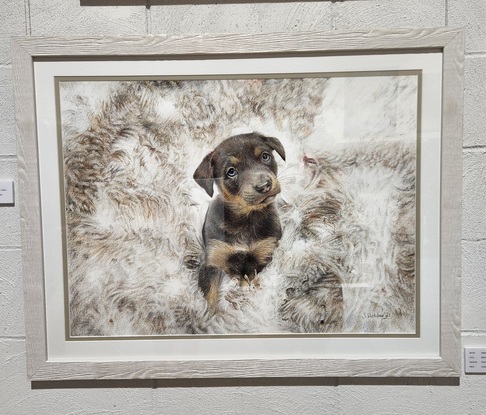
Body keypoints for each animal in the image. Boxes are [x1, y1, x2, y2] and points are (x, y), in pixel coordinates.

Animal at [193, 133, 284, 312]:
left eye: (265, 156)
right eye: (231, 172)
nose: (264, 186)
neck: (245, 218)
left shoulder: (262, 256)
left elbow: (254, 283)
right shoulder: (213, 261)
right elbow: (210, 297)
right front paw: (208, 317)